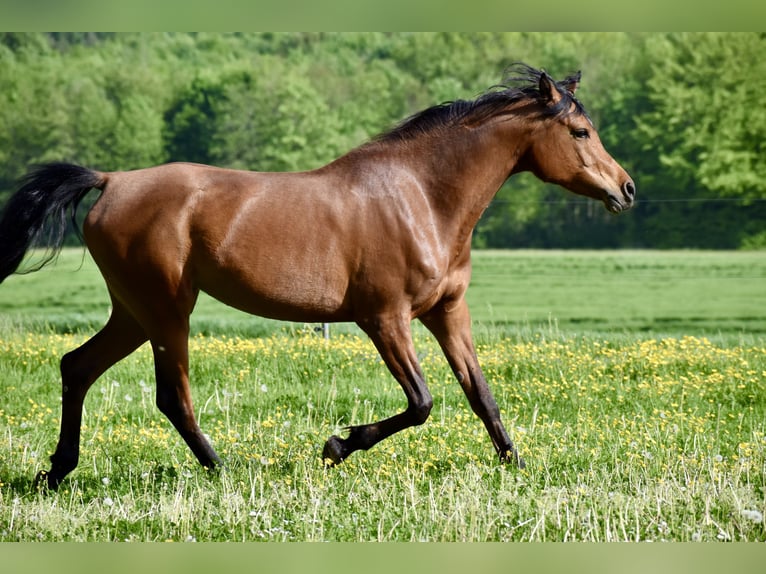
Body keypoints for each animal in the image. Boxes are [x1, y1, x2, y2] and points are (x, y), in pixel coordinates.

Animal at [0, 64, 635, 489]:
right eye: (580, 132)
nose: (626, 189)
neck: (422, 198)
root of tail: (111, 181)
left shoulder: (446, 311)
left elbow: (481, 395)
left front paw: (519, 468)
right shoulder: (385, 318)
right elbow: (423, 401)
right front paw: (336, 445)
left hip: (134, 312)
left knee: (78, 367)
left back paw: (56, 472)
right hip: (165, 311)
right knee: (171, 395)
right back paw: (222, 469)